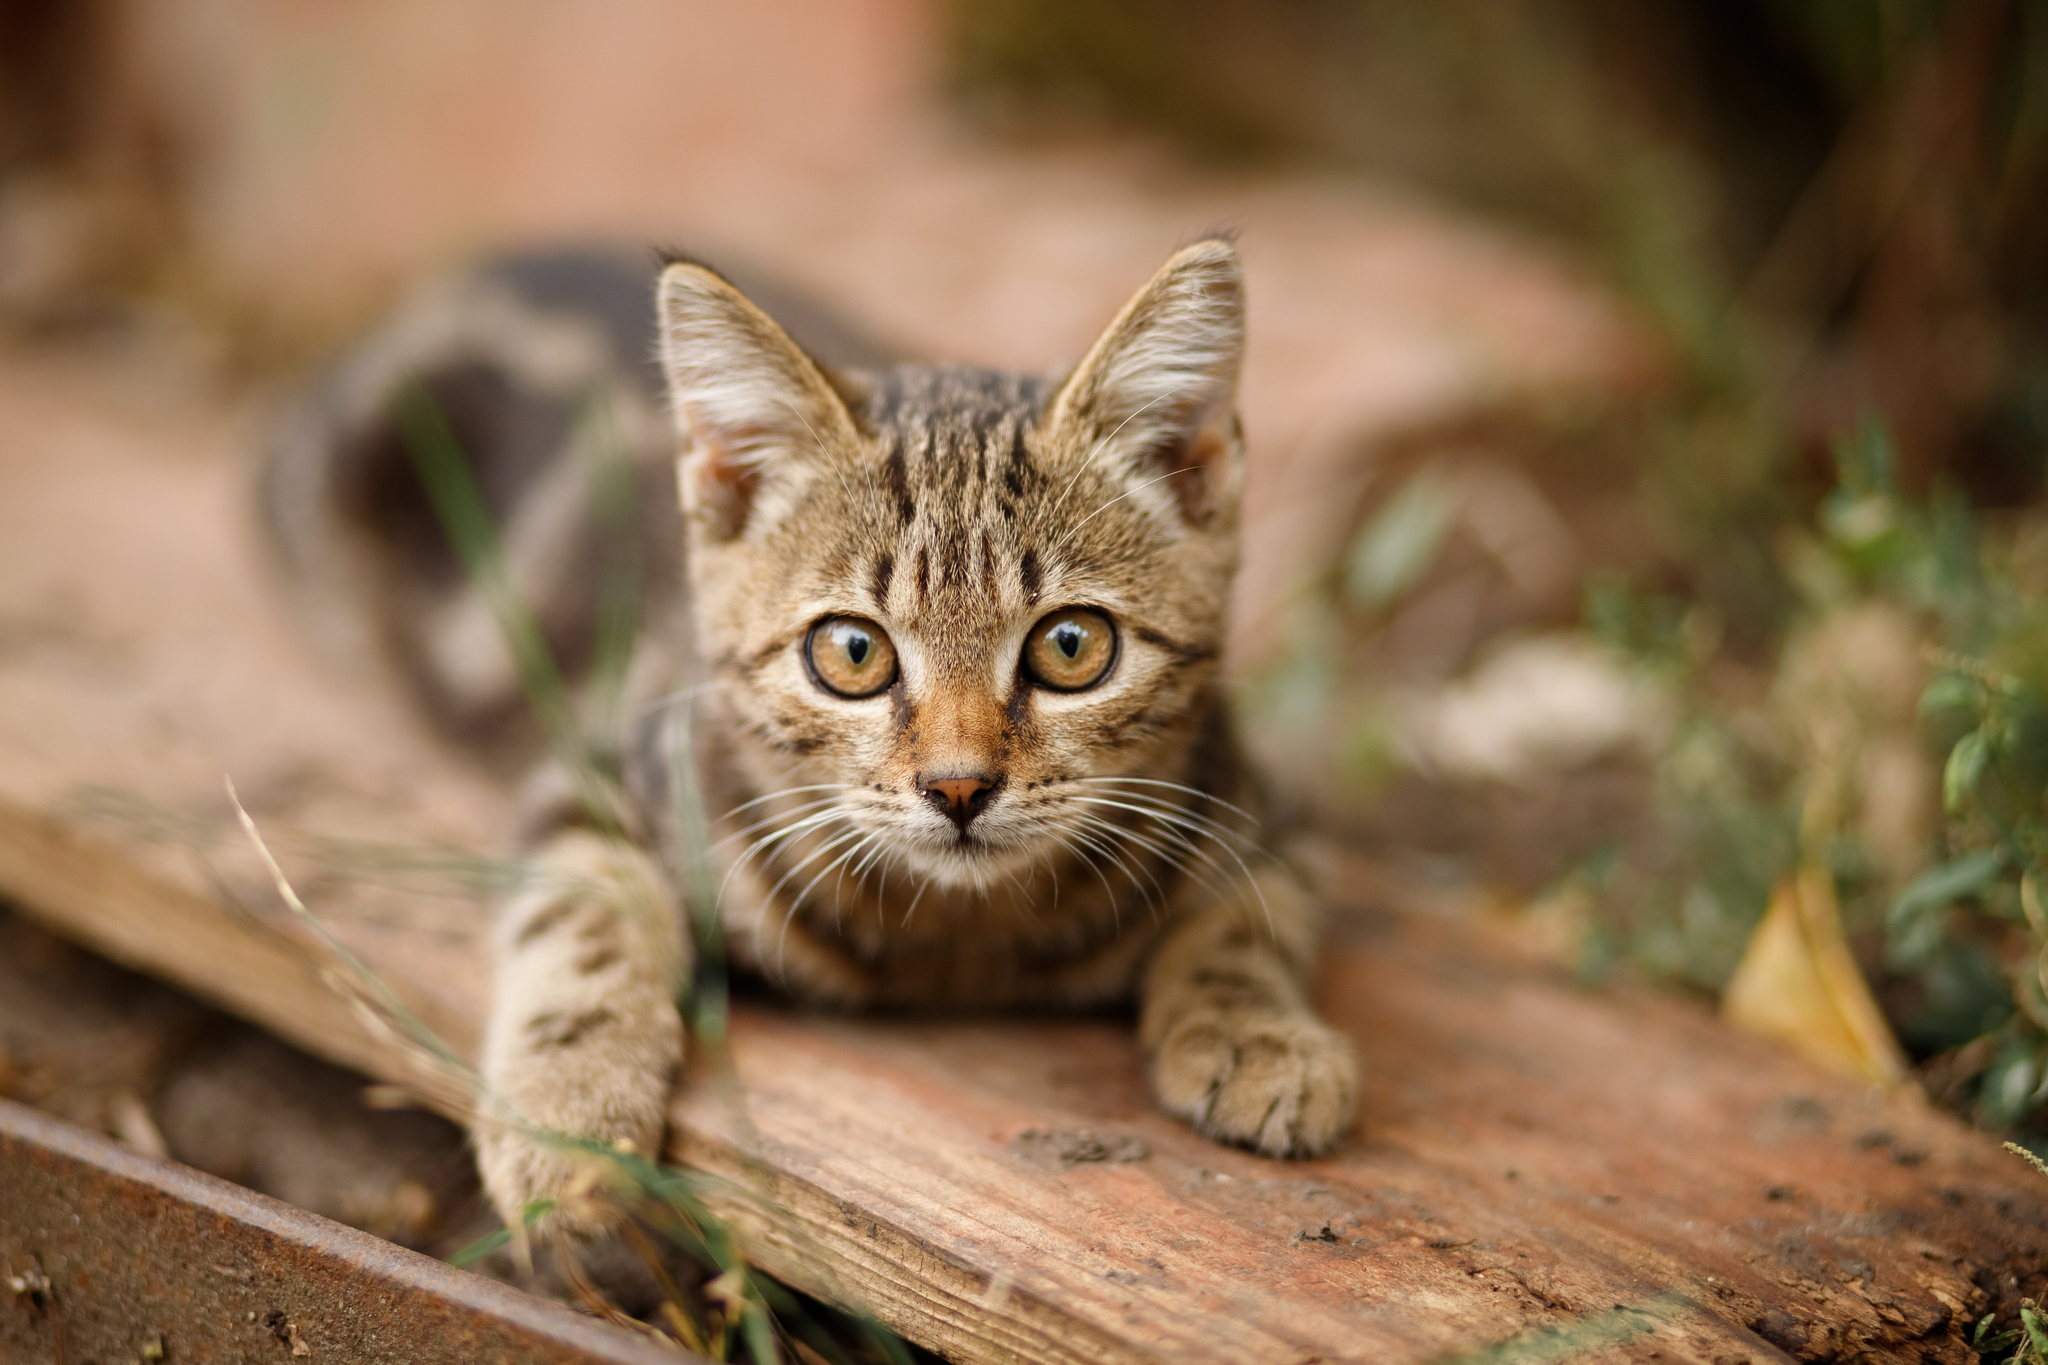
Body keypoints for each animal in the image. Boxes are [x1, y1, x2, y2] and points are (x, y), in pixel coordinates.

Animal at [272, 237, 1359, 1236]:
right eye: (851, 652)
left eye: (1070, 645)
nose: (958, 787)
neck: (959, 942)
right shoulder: (607, 765)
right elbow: (583, 914)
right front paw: (566, 1116)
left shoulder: (1260, 803)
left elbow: (1248, 917)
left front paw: (1261, 1036)